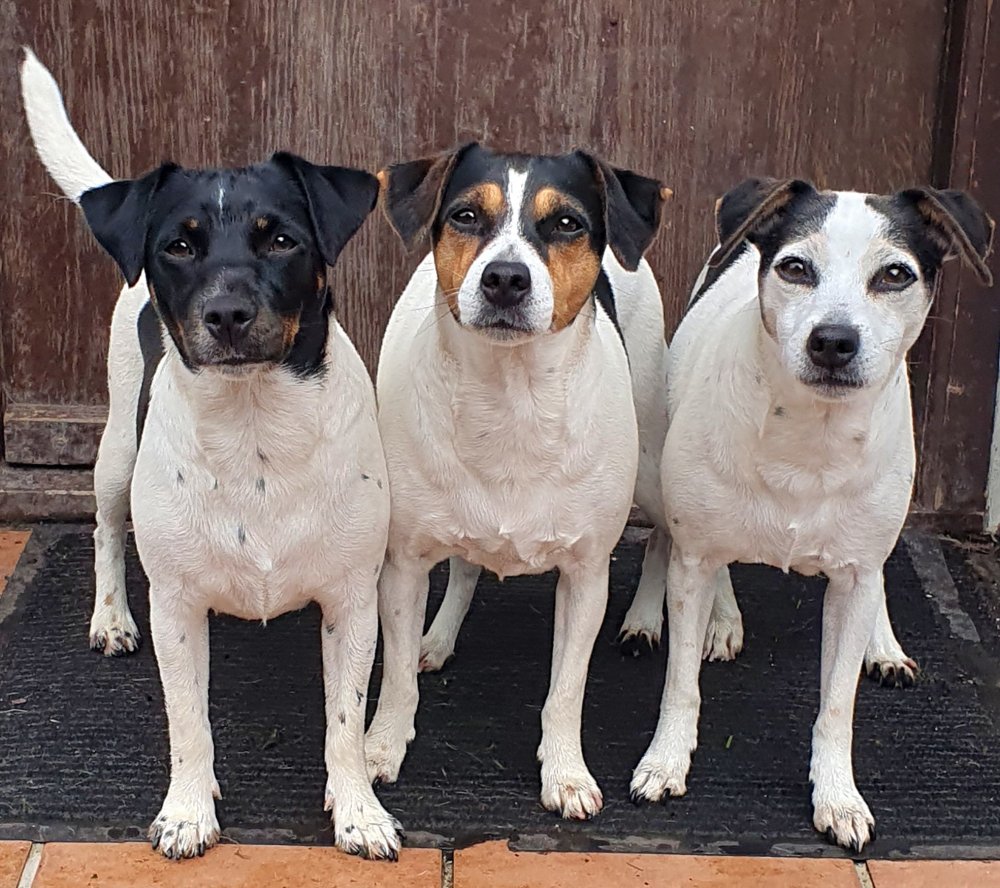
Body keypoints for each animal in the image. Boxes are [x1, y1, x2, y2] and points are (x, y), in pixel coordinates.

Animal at [21, 49, 402, 860]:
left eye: (281, 239)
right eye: (180, 245)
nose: (227, 314)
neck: (254, 428)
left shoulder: (352, 602)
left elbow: (346, 723)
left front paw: (358, 812)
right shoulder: (177, 607)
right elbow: (188, 721)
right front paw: (188, 811)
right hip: (114, 452)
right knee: (104, 528)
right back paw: (109, 617)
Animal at [362, 142, 691, 819]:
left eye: (566, 223)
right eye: (464, 215)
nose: (506, 278)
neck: (509, 399)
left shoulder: (586, 576)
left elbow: (566, 689)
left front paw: (564, 772)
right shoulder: (402, 565)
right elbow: (398, 675)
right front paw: (382, 746)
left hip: (651, 467)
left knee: (663, 536)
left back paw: (646, 619)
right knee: (464, 566)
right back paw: (440, 636)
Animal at [629, 177, 994, 850]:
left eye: (896, 274)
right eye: (796, 267)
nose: (833, 340)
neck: (810, 435)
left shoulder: (853, 579)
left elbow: (837, 705)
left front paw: (838, 795)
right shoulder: (694, 559)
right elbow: (681, 685)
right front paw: (665, 762)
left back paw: (884, 645)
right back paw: (717, 620)